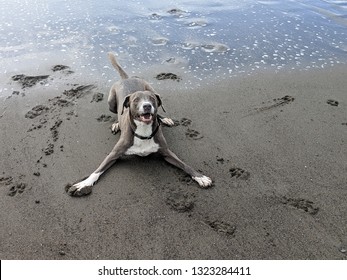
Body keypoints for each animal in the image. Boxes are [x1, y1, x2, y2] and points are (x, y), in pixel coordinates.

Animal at [65, 53, 212, 197]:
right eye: (136, 100)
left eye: (152, 99)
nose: (147, 106)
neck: (144, 131)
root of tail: (127, 78)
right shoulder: (113, 154)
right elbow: (97, 171)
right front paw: (83, 184)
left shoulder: (167, 152)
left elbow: (184, 165)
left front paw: (200, 177)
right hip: (111, 102)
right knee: (117, 111)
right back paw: (116, 124)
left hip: (150, 87)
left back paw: (165, 119)